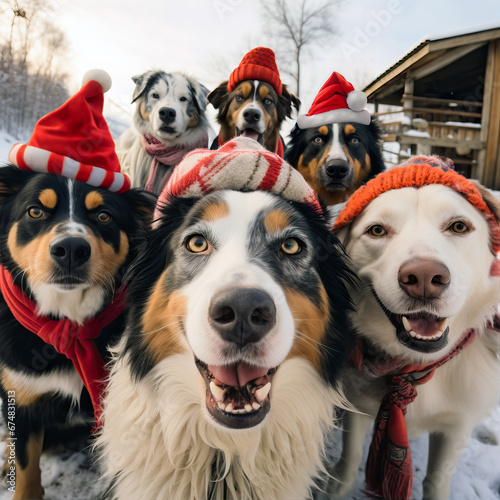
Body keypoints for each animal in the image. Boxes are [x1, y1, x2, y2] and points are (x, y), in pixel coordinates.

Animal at [326, 157, 500, 500]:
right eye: (377, 230)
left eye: (459, 226)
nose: (423, 278)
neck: (414, 367)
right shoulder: (356, 403)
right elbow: (350, 457)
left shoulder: (455, 426)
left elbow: (436, 481)